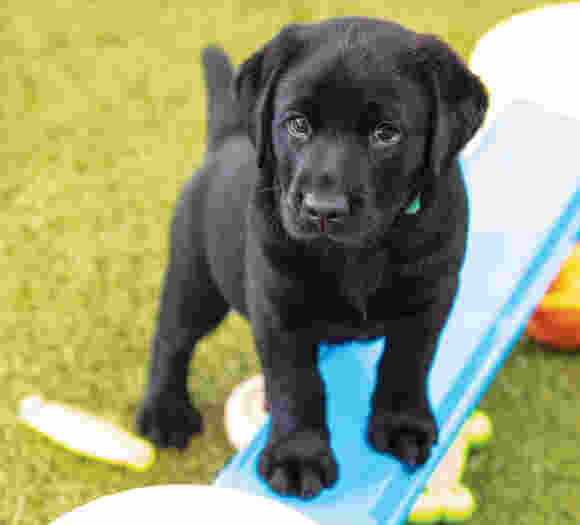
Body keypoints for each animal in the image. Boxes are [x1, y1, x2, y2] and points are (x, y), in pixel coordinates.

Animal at [137, 17, 490, 500]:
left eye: (386, 134)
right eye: (298, 124)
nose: (323, 208)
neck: (359, 253)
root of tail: (226, 140)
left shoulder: (431, 296)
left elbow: (408, 361)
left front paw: (402, 424)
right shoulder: (279, 308)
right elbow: (296, 382)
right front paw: (298, 456)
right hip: (197, 278)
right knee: (172, 339)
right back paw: (164, 412)